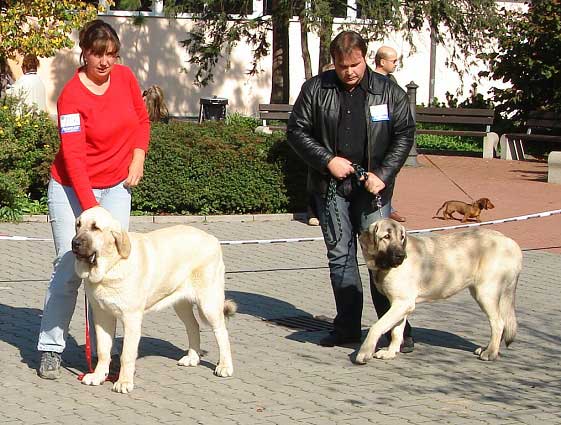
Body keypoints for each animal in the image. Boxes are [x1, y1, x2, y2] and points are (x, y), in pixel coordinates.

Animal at [70, 207, 236, 392]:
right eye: (78, 225)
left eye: (95, 228)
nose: (74, 243)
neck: (111, 267)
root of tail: (212, 238)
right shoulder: (102, 316)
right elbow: (103, 350)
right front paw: (98, 376)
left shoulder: (131, 318)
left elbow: (127, 354)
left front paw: (124, 382)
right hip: (181, 303)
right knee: (193, 326)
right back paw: (192, 358)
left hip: (209, 303)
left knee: (221, 332)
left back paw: (225, 366)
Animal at [356, 219, 524, 364]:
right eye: (386, 237)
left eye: (401, 237)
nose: (402, 256)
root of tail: (511, 243)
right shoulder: (399, 304)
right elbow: (396, 331)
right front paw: (391, 352)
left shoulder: (402, 303)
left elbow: (377, 326)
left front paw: (364, 352)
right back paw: (488, 348)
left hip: (485, 293)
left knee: (498, 323)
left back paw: (490, 352)